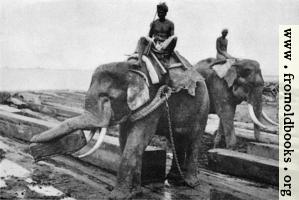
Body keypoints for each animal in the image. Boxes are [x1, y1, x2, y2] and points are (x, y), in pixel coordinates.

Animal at [29, 61, 209, 199]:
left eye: (108, 99)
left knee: (194, 140)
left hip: (203, 109)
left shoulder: (152, 101)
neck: (133, 70)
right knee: (177, 140)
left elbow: (138, 139)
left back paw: (191, 183)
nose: (32, 147)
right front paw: (135, 193)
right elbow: (124, 139)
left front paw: (117, 196)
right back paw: (174, 180)